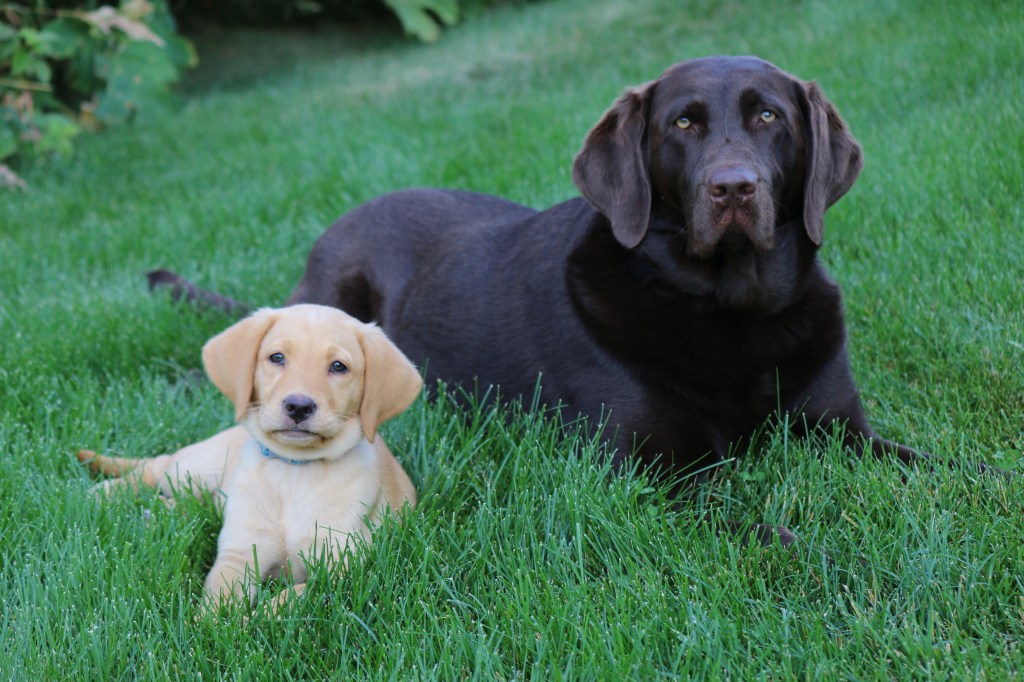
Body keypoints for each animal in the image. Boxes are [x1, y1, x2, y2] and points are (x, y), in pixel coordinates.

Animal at [79, 304, 422, 608]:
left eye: (339, 366)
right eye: (277, 357)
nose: (298, 406)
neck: (294, 470)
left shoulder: (340, 569)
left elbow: (293, 596)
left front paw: (256, 619)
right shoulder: (240, 553)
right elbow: (218, 603)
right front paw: (214, 628)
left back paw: (158, 510)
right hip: (199, 466)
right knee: (157, 466)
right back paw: (101, 493)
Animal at [149, 56, 973, 542]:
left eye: (769, 115)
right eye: (683, 123)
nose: (734, 188)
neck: (728, 310)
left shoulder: (843, 431)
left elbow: (951, 469)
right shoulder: (648, 471)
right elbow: (761, 524)